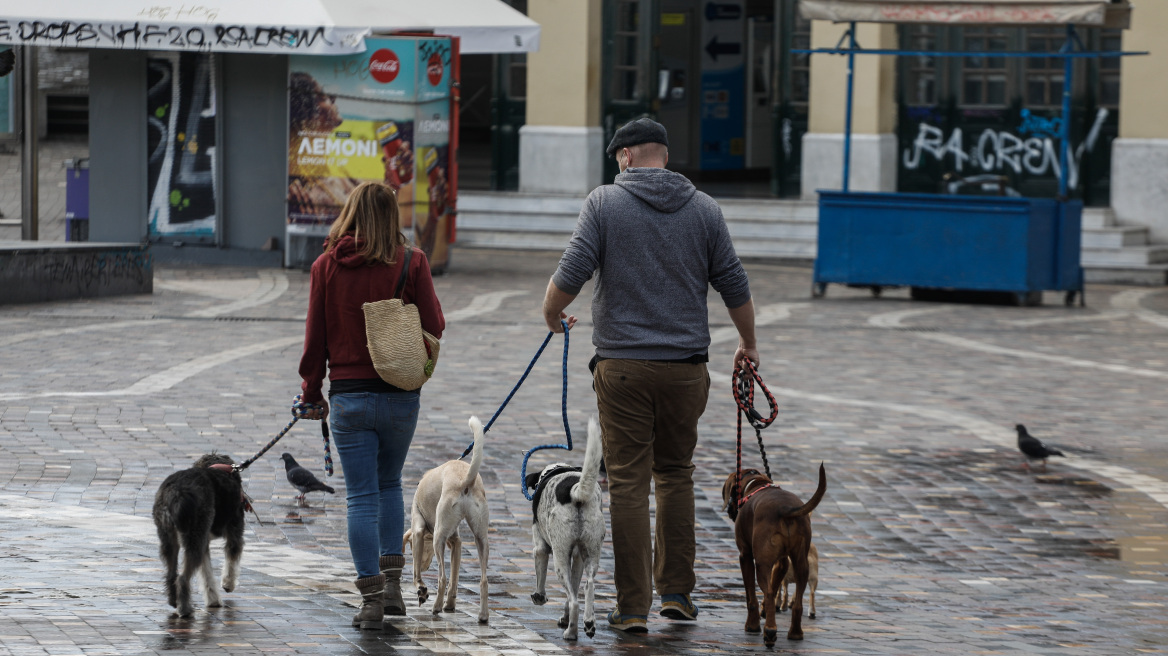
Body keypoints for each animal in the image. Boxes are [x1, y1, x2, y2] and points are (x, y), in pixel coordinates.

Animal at [151, 452, 245, 616]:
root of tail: (176, 493)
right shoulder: (235, 531)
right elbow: (232, 558)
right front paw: (228, 584)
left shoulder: (204, 541)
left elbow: (206, 571)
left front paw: (213, 600)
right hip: (194, 534)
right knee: (182, 578)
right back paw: (185, 610)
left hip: (169, 535)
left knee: (171, 574)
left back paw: (173, 600)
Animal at [406, 415, 488, 620]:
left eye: (410, 547)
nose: (425, 567)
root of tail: (465, 480)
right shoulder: (456, 542)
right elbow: (454, 579)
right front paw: (450, 604)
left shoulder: (418, 531)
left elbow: (415, 573)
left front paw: (421, 589)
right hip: (481, 537)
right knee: (483, 580)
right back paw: (483, 616)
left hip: (439, 537)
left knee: (442, 577)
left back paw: (435, 607)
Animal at [525, 415, 607, 634]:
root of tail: (575, 493)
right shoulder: (578, 556)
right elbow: (576, 588)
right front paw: (565, 617)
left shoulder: (540, 548)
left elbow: (540, 575)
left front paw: (539, 597)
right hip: (591, 552)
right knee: (587, 586)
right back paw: (588, 622)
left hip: (560, 558)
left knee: (575, 600)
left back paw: (571, 633)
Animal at [714, 464, 826, 644]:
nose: (730, 510)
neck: (755, 484)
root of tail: (786, 508)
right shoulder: (782, 563)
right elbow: (774, 588)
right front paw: (764, 611)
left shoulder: (745, 556)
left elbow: (752, 596)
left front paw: (752, 625)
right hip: (801, 564)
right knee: (796, 602)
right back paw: (795, 633)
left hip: (762, 564)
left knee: (768, 593)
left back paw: (770, 631)